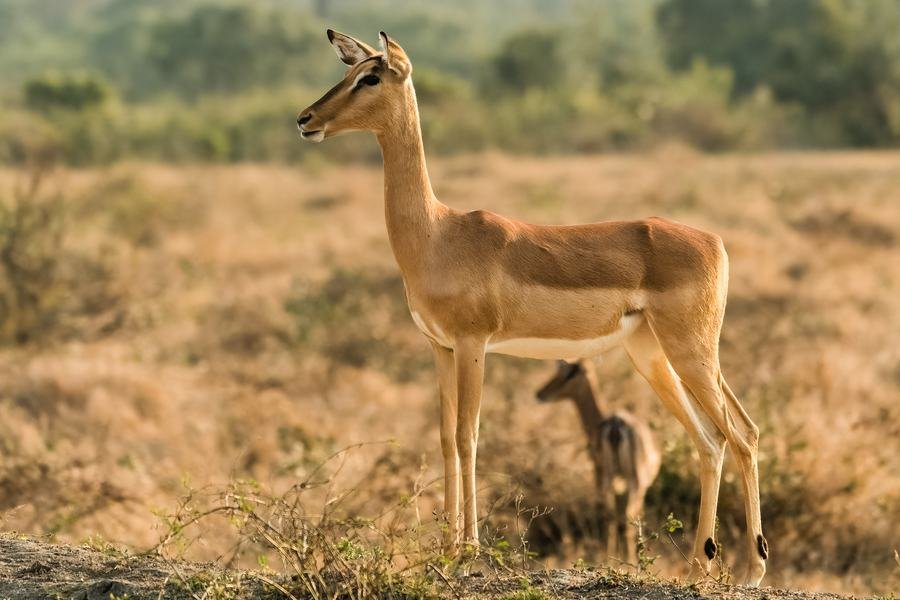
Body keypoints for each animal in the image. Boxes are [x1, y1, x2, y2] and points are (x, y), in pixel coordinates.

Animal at [536, 360, 661, 565]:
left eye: (568, 373)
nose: (540, 393)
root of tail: (616, 424)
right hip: (628, 480)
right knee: (625, 515)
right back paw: (627, 560)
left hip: (610, 478)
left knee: (610, 514)